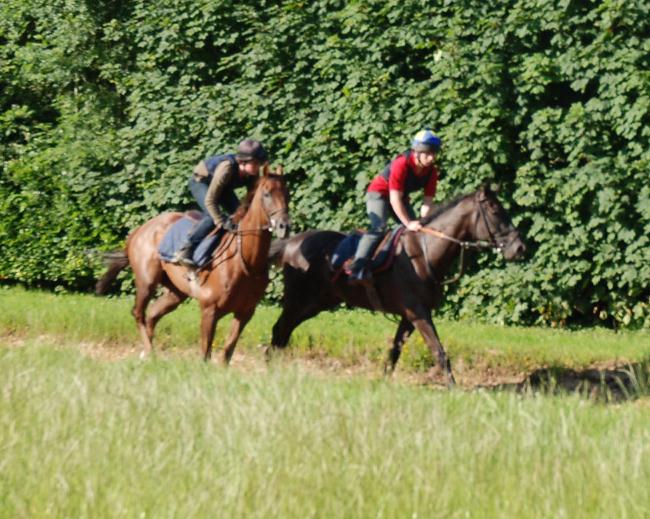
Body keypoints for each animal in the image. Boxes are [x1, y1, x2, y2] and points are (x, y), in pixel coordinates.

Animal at [96, 169, 288, 364]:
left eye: (286, 192)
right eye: (266, 194)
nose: (284, 225)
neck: (246, 262)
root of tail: (139, 230)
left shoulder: (245, 312)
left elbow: (227, 352)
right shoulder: (209, 310)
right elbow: (205, 352)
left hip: (175, 292)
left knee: (152, 315)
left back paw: (146, 354)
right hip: (146, 281)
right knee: (138, 313)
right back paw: (149, 351)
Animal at [266, 185, 524, 384]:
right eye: (495, 210)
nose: (519, 247)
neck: (424, 252)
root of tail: (292, 242)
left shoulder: (409, 316)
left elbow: (395, 350)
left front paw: (383, 382)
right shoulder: (418, 313)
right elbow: (438, 352)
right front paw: (454, 389)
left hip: (317, 302)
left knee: (285, 331)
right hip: (298, 299)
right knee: (279, 329)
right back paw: (270, 366)